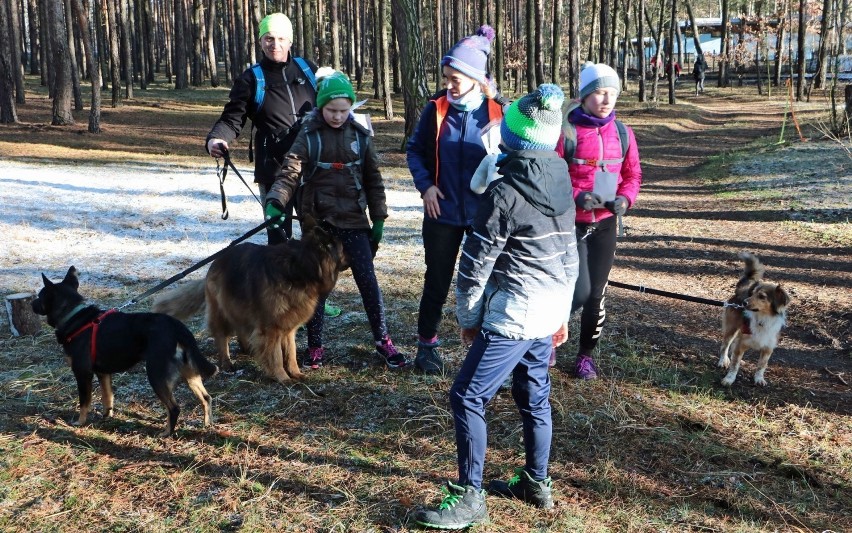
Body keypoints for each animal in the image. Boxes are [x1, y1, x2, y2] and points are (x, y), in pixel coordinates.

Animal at [32, 266, 220, 436]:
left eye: (40, 296)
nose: (31, 302)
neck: (73, 316)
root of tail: (177, 327)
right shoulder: (103, 373)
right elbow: (107, 397)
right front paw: (107, 416)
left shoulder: (82, 373)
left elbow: (84, 401)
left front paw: (79, 422)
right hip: (190, 372)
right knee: (206, 398)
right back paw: (207, 424)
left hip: (157, 375)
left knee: (174, 408)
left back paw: (167, 433)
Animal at [151, 219, 344, 382]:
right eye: (344, 246)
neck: (300, 268)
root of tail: (216, 261)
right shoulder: (271, 329)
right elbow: (276, 356)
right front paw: (282, 377)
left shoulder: (288, 327)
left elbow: (291, 352)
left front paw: (295, 373)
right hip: (222, 312)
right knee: (222, 337)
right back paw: (227, 363)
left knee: (241, 329)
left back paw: (246, 348)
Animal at [720, 251, 792, 384]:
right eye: (752, 294)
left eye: (762, 296)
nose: (744, 303)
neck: (762, 319)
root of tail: (740, 290)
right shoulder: (741, 344)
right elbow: (735, 365)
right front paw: (729, 379)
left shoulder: (768, 348)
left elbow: (761, 365)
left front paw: (759, 379)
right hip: (731, 328)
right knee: (725, 345)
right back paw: (723, 361)